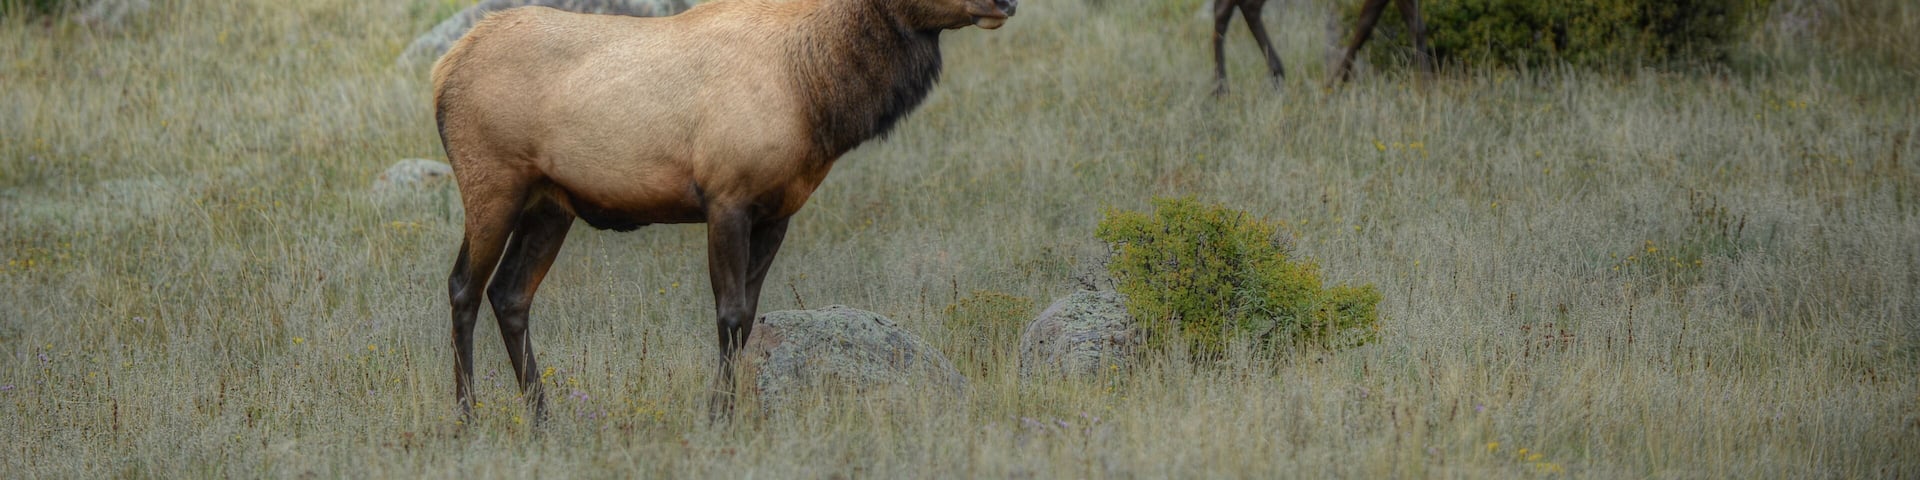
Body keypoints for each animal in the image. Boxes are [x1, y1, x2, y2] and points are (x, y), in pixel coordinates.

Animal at [431, 0, 1017, 422]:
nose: (1006, 0)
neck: (814, 96)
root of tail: (442, 71)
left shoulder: (778, 211)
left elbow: (749, 316)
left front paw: (728, 410)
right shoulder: (727, 196)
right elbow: (730, 314)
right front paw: (718, 416)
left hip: (551, 204)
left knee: (510, 294)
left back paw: (542, 415)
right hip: (493, 182)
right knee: (463, 287)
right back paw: (468, 416)